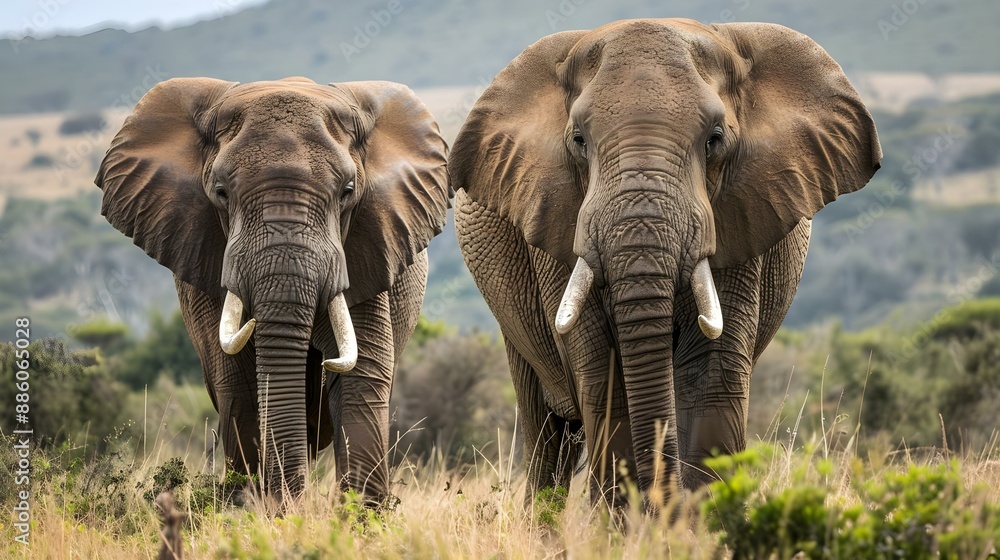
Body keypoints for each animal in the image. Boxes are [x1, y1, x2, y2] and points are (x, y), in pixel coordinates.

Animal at [95, 77, 450, 503]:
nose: (289, 506)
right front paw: (250, 508)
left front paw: (359, 515)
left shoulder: (371, 245)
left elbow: (360, 377)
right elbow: (241, 386)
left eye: (348, 191)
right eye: (221, 192)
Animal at [451, 19, 881, 506]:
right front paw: (621, 521)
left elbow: (711, 365)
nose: (659, 502)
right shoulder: (553, 219)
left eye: (715, 139)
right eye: (579, 140)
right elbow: (600, 365)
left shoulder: (743, 214)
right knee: (546, 430)